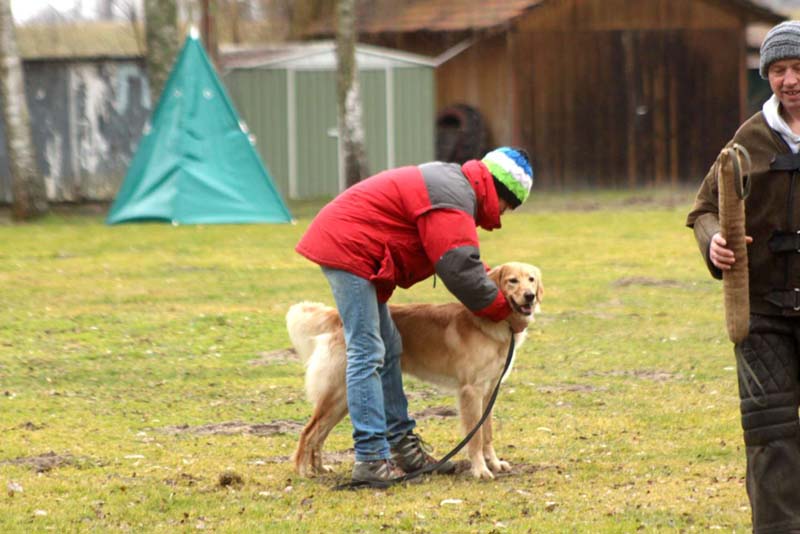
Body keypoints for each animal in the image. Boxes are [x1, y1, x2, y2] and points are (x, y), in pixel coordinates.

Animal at [284, 262, 540, 482]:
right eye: (512, 281)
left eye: (531, 279)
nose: (530, 296)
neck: (492, 323)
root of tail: (338, 318)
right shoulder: (471, 392)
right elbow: (475, 437)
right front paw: (480, 469)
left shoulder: (489, 392)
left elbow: (487, 433)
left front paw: (494, 463)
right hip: (338, 393)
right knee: (308, 432)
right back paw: (302, 471)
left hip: (343, 399)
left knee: (319, 434)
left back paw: (319, 468)